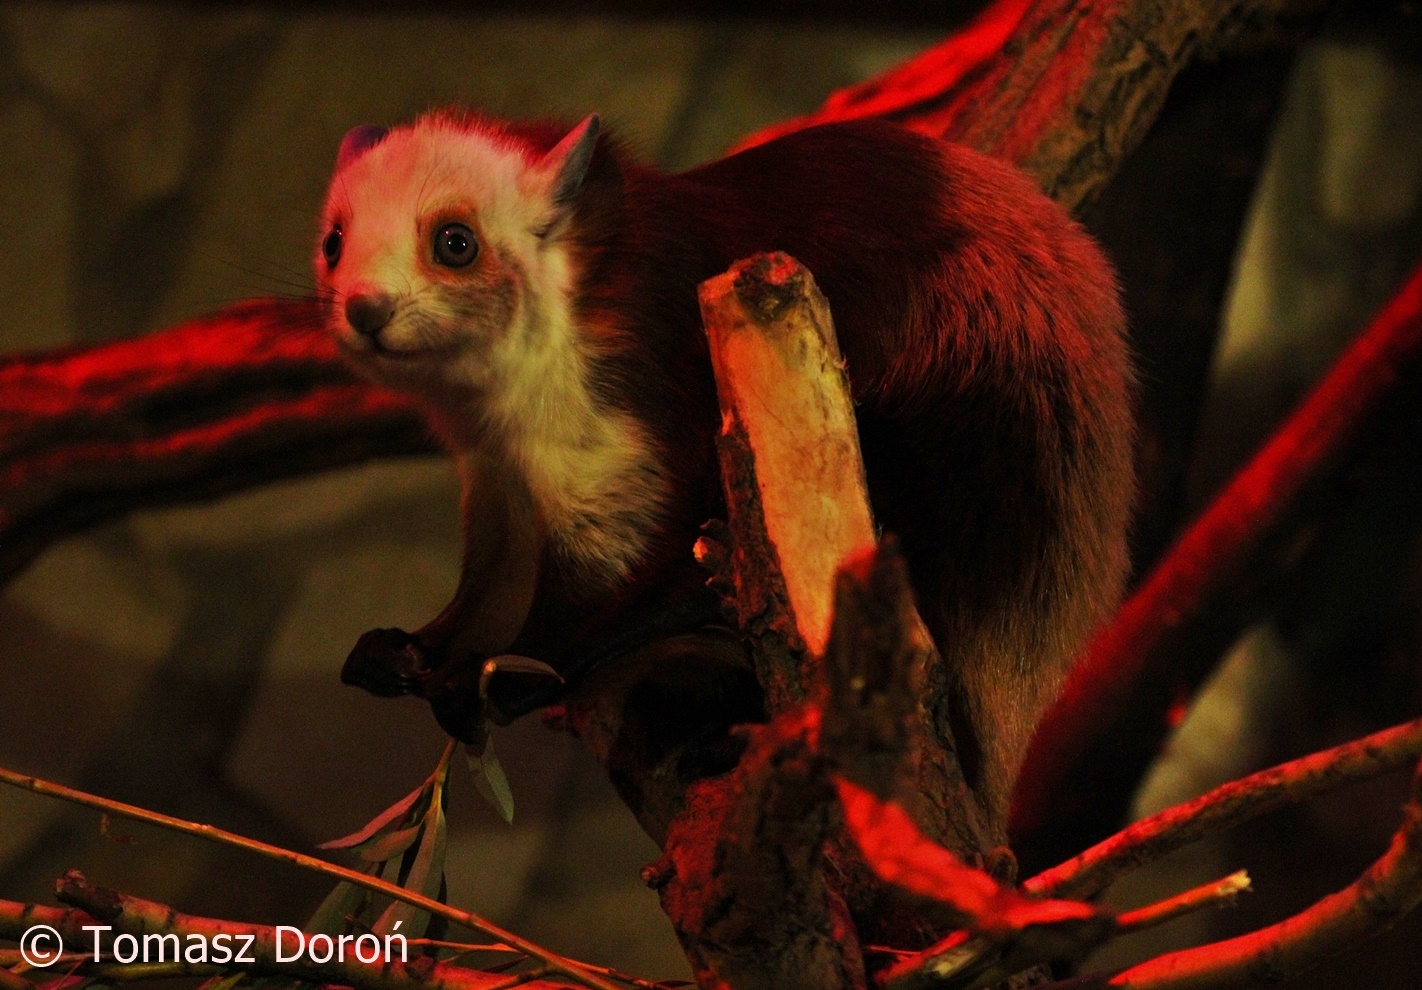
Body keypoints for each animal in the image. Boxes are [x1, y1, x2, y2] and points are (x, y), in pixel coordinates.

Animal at [316, 109, 1135, 820]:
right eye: (333, 241)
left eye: (455, 242)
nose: (364, 310)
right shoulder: (502, 489)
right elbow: (482, 596)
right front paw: (400, 652)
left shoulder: (629, 461)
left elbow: (588, 610)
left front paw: (482, 685)